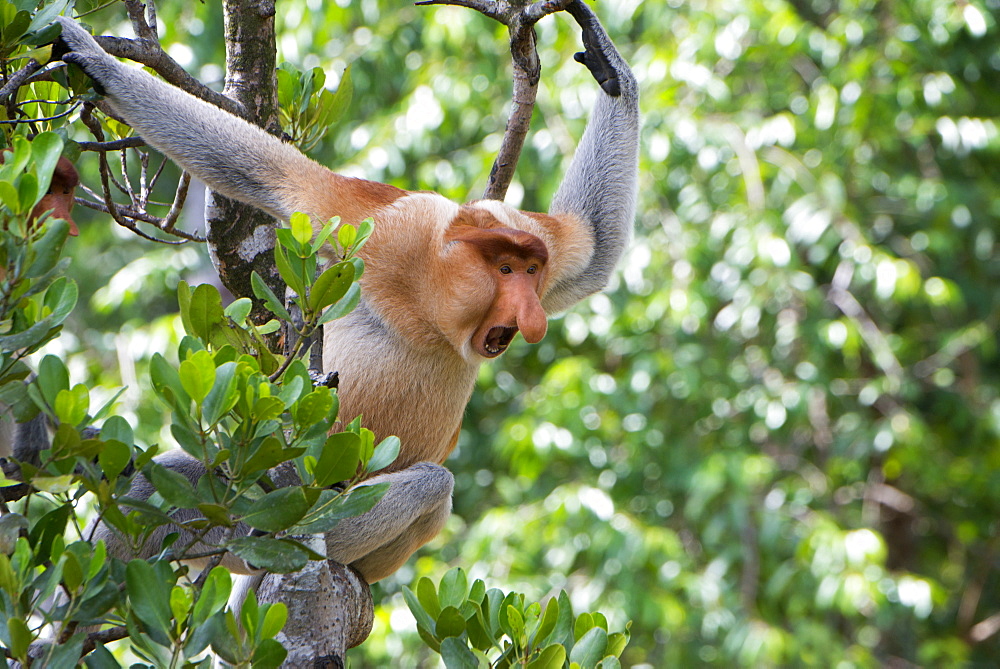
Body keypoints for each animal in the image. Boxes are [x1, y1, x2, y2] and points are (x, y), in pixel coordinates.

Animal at [54, 0, 636, 580]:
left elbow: (589, 247)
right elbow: (274, 173)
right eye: (506, 270)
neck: (431, 307)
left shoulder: (535, 235)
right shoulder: (386, 226)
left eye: (533, 270)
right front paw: (93, 60)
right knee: (155, 479)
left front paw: (610, 71)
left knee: (433, 485)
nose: (532, 315)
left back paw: (280, 537)